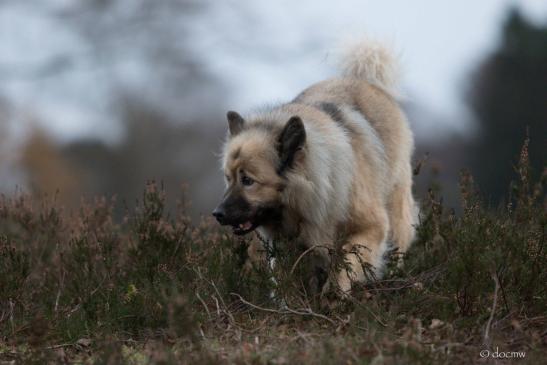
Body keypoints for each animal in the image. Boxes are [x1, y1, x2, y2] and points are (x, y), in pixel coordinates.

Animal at [212, 39, 418, 292]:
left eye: (248, 181)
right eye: (228, 179)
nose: (217, 214)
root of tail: (364, 80)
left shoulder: (369, 227)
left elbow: (346, 263)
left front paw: (335, 294)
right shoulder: (287, 249)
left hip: (395, 206)